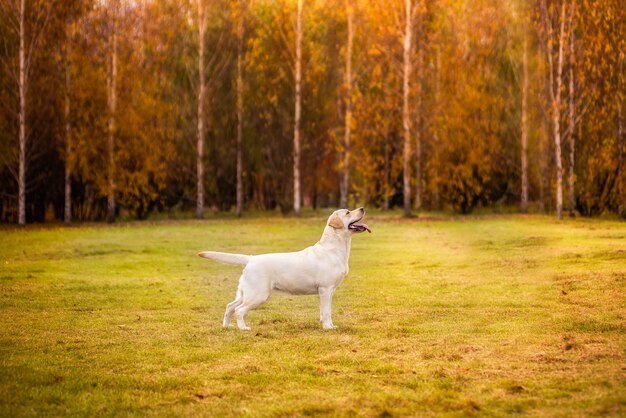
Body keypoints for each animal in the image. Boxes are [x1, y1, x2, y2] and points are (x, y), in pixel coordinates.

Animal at [197, 207, 368, 332]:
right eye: (348, 212)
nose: (362, 208)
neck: (334, 248)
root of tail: (251, 258)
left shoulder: (330, 291)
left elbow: (328, 311)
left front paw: (331, 325)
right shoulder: (325, 289)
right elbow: (325, 312)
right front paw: (327, 328)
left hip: (245, 292)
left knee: (230, 306)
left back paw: (227, 326)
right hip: (258, 294)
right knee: (239, 310)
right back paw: (243, 328)